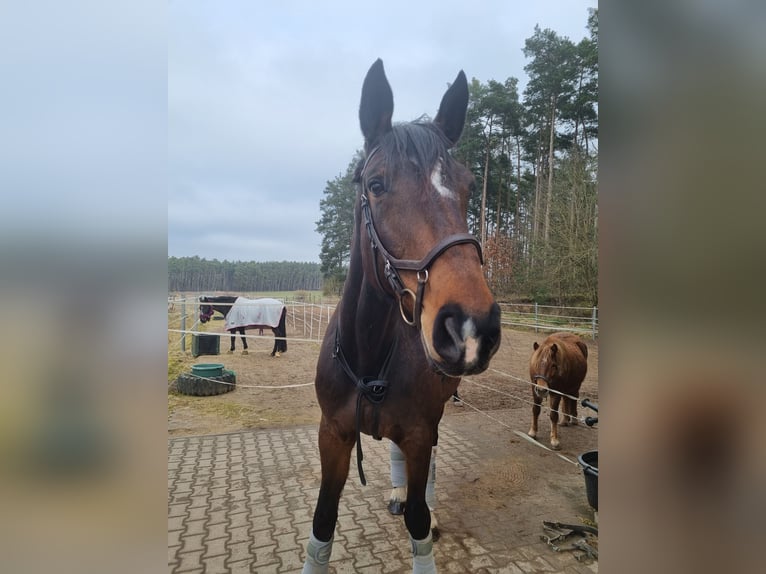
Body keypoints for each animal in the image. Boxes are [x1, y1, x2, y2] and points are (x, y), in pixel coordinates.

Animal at [304, 59, 508, 574]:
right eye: (375, 185)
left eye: (468, 187)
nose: (471, 326)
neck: (370, 354)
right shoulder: (332, 435)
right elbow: (322, 525)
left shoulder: (419, 430)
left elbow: (418, 521)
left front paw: (424, 515)